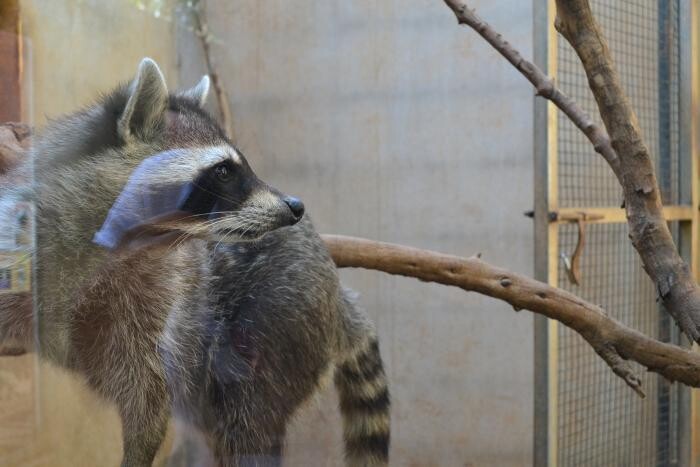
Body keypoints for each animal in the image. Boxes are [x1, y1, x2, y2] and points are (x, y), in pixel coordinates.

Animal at [0, 59, 388, 467]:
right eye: (223, 171)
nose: (295, 206)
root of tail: (333, 287)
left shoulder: (159, 297)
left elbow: (148, 395)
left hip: (281, 316)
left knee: (249, 422)